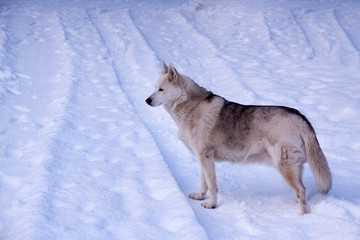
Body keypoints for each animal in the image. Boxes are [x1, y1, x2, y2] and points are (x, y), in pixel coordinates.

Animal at [146, 61, 332, 215]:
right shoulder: (202, 158)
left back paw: (303, 216)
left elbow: (212, 185)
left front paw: (212, 205)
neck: (191, 106)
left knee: (301, 191)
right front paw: (200, 196)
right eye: (154, 88)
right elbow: (204, 183)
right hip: (294, 167)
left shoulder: (206, 157)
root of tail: (299, 115)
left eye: (161, 90)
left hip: (284, 166)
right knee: (302, 190)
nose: (147, 100)